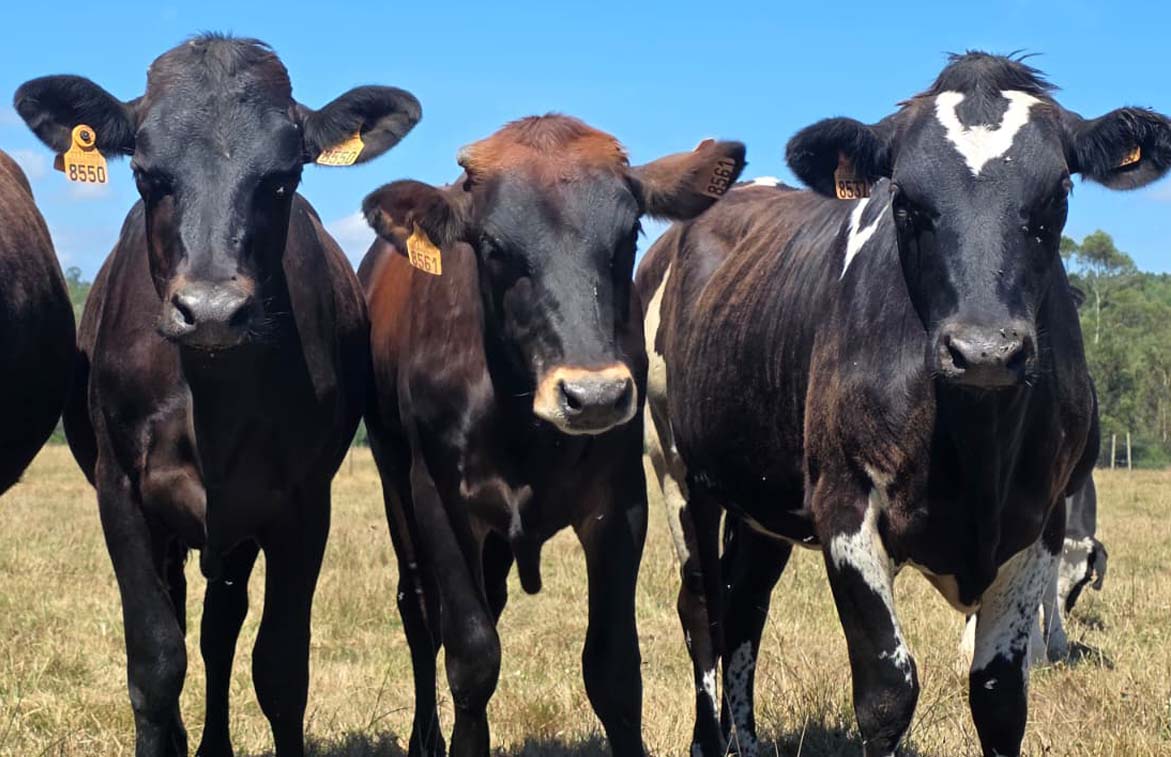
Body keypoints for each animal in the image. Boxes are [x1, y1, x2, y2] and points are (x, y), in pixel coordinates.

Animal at [14, 35, 420, 756]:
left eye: (282, 179)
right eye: (148, 175)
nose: (209, 310)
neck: (211, 403)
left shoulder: (301, 504)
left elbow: (280, 667)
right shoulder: (121, 492)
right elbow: (155, 660)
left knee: (220, 629)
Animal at [358, 115, 745, 756]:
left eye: (629, 236)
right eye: (492, 246)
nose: (594, 395)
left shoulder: (618, 505)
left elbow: (613, 670)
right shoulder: (437, 498)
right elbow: (471, 657)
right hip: (393, 481)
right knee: (418, 611)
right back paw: (425, 737)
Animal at [637, 52, 1170, 757]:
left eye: (1057, 193)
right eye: (906, 201)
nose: (985, 351)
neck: (975, 450)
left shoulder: (1041, 521)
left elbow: (1000, 696)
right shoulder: (843, 507)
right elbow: (888, 691)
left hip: (761, 500)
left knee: (746, 602)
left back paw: (744, 741)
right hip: (675, 469)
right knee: (703, 607)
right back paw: (707, 739)